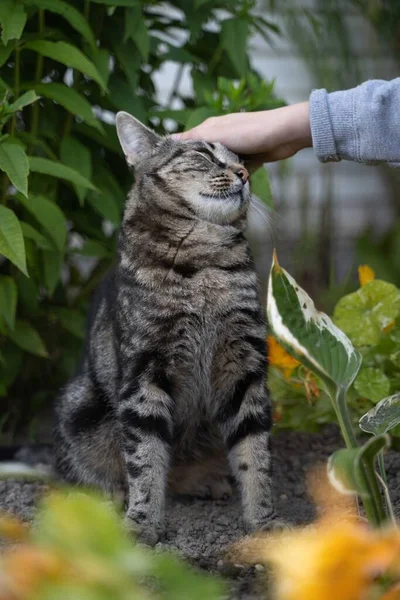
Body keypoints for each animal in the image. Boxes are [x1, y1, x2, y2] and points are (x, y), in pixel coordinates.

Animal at [54, 111, 282, 544]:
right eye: (204, 154)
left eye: (240, 159)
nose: (243, 173)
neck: (205, 264)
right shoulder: (144, 374)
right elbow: (145, 458)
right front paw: (142, 523)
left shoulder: (244, 368)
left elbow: (255, 453)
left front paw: (265, 522)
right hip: (80, 406)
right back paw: (109, 497)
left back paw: (205, 481)